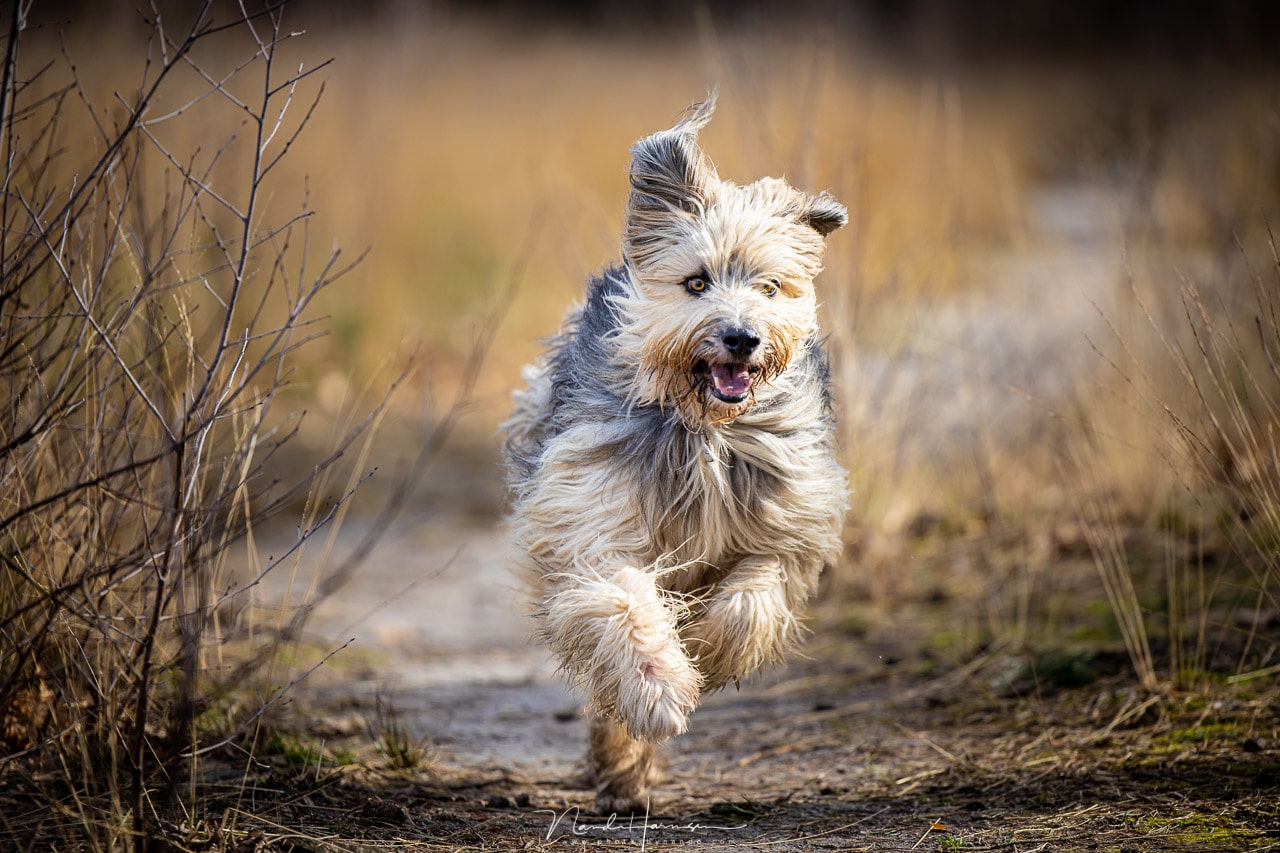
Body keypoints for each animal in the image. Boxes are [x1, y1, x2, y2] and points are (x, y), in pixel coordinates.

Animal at [501, 92, 849, 809]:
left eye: (770, 286)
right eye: (696, 282)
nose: (742, 337)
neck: (704, 427)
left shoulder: (786, 524)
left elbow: (751, 600)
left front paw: (708, 653)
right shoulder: (594, 520)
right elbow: (624, 604)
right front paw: (660, 689)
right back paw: (621, 767)